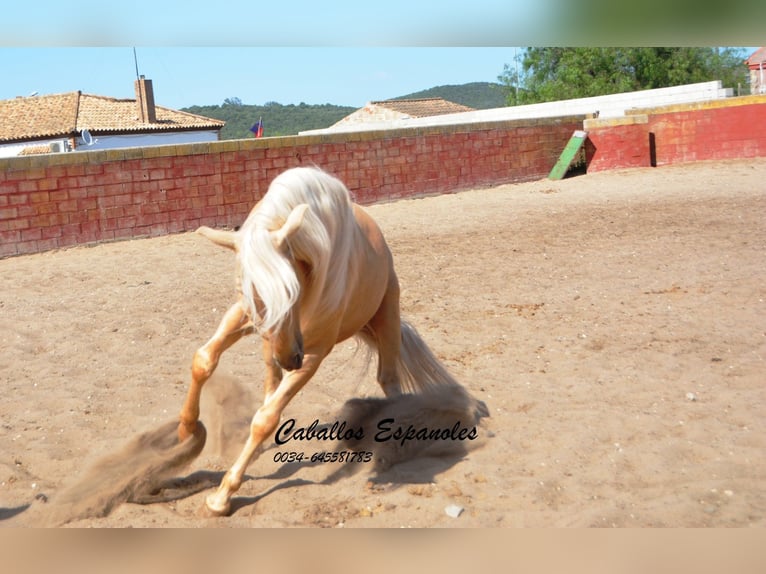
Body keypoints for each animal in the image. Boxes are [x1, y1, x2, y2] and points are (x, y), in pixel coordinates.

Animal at [180, 166, 474, 516]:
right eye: (245, 290)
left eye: (292, 290)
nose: (289, 358)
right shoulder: (244, 316)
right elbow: (203, 360)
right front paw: (185, 433)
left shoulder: (313, 353)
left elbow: (266, 418)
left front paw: (222, 495)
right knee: (270, 381)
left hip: (387, 317)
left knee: (389, 380)